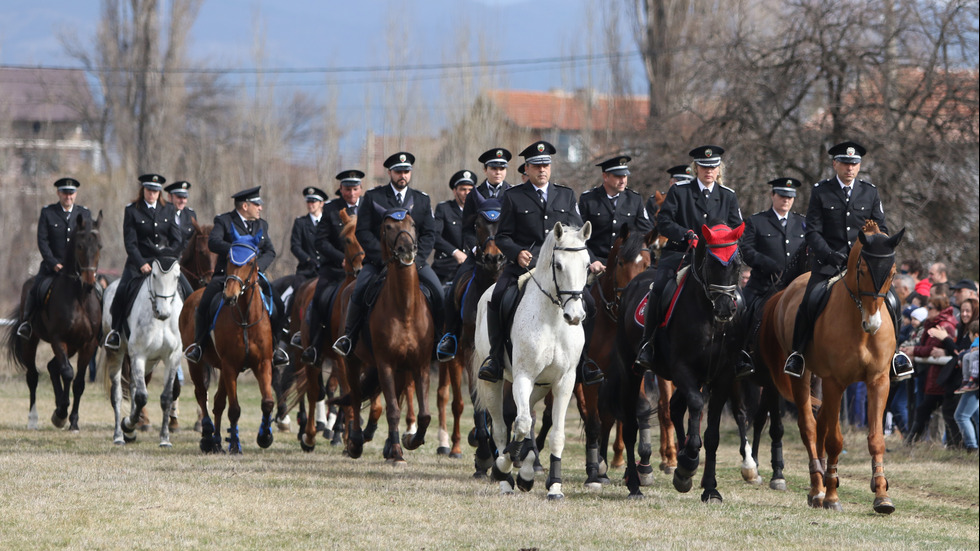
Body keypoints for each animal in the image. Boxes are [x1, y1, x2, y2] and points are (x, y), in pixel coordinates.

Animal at [5, 211, 104, 432]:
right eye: (79, 246)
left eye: (100, 246)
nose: (89, 283)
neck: (79, 297)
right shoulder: (59, 339)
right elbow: (67, 372)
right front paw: (60, 414)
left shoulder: (88, 344)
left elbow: (79, 382)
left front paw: (73, 421)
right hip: (30, 341)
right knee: (33, 376)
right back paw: (33, 419)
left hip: (74, 345)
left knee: (52, 367)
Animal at [103, 256, 186, 446]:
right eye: (154, 275)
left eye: (177, 277)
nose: (163, 312)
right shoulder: (139, 355)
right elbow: (141, 396)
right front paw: (127, 424)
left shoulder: (172, 357)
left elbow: (166, 397)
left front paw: (165, 439)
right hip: (116, 354)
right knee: (117, 395)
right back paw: (119, 435)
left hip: (150, 362)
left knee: (133, 386)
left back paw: (130, 433)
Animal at [181, 229, 278, 452]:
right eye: (228, 259)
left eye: (251, 262)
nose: (229, 296)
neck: (245, 318)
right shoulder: (230, 366)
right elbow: (234, 409)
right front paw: (235, 445)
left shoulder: (263, 364)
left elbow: (267, 402)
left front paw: (265, 436)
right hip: (197, 363)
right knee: (201, 394)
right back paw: (207, 436)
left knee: (217, 402)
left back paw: (217, 441)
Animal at [474, 221, 588, 500]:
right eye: (558, 265)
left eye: (587, 265)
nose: (574, 316)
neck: (553, 319)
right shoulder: (523, 377)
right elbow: (522, 424)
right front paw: (503, 466)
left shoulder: (564, 382)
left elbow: (555, 434)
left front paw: (555, 486)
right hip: (494, 382)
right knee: (503, 426)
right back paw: (505, 479)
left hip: (540, 386)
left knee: (521, 416)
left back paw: (525, 473)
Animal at [756, 222, 904, 516]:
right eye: (862, 270)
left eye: (892, 272)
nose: (873, 324)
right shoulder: (836, 382)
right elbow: (835, 440)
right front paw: (833, 496)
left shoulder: (878, 381)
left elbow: (876, 439)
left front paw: (882, 496)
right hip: (804, 376)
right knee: (810, 427)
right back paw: (818, 489)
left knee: (821, 422)